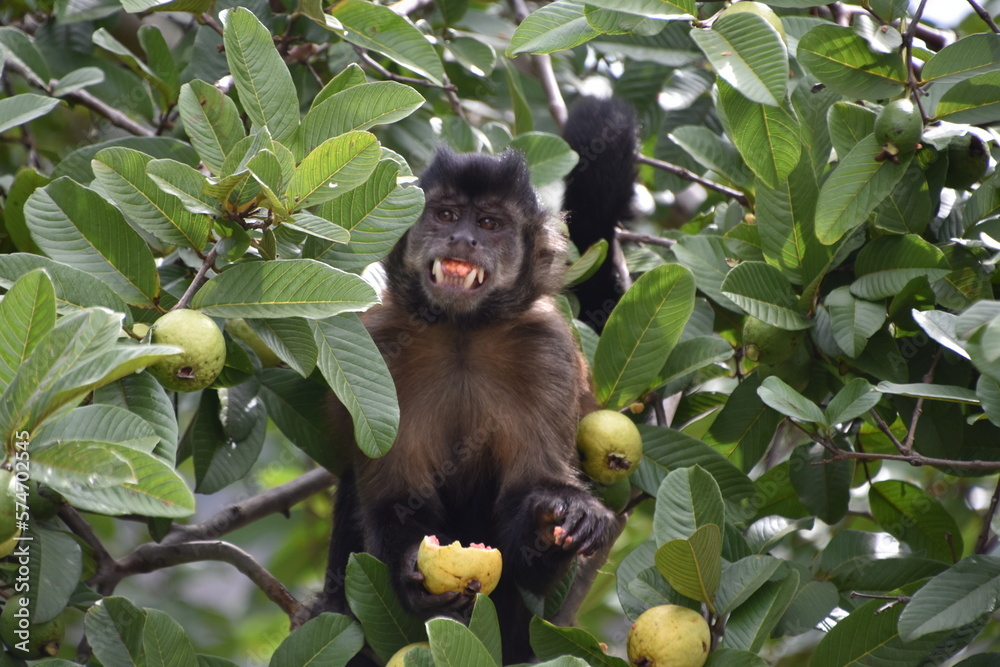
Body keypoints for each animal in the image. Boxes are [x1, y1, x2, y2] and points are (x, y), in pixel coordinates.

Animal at [313, 97, 638, 664]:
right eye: (445, 215)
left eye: (489, 223)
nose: (462, 238)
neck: (461, 332)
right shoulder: (382, 346)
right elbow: (395, 498)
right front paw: (411, 568)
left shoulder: (545, 349)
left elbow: (529, 507)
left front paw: (556, 522)